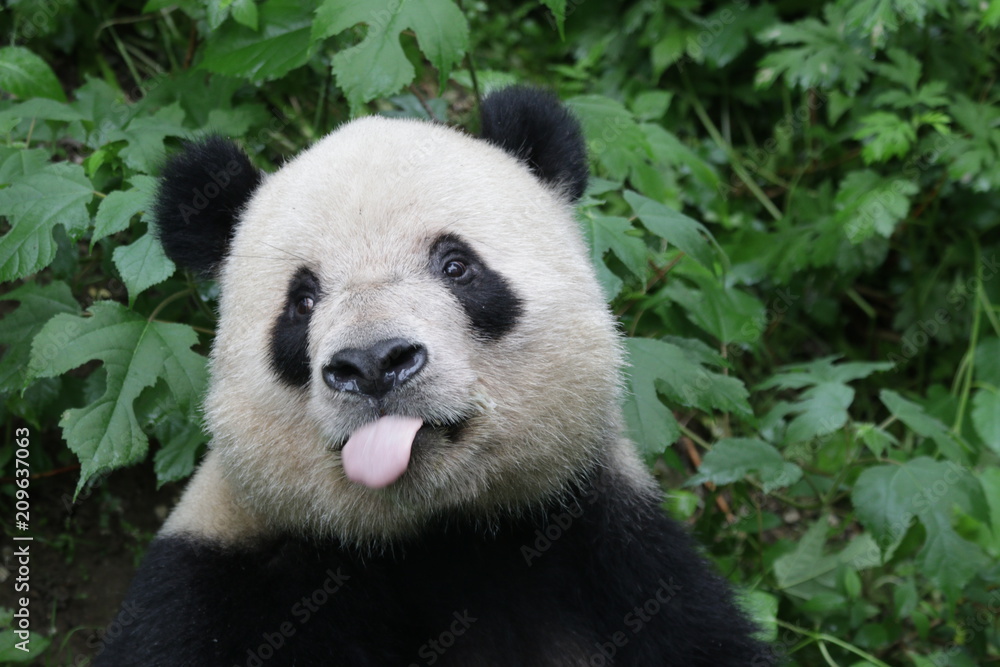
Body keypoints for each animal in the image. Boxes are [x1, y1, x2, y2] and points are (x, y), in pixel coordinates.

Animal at [95, 87, 773, 666]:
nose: (373, 364)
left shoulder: (609, 553)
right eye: (302, 302)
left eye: (456, 265)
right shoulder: (221, 582)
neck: (433, 534)